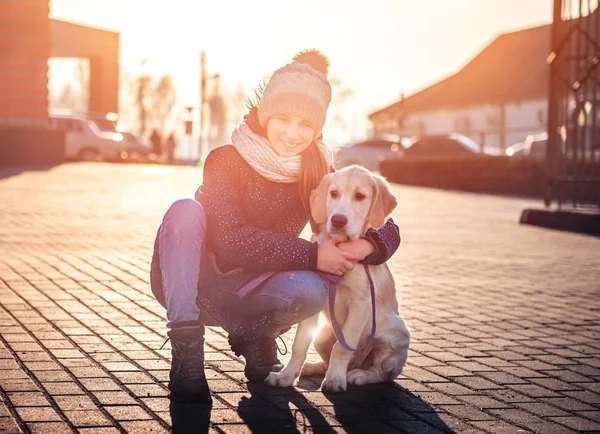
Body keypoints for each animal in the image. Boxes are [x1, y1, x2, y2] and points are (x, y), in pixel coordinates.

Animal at [264, 164, 410, 392]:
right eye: (333, 193)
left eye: (360, 196)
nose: (338, 220)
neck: (340, 246)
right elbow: (300, 343)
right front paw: (286, 376)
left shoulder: (361, 304)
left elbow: (341, 347)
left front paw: (335, 379)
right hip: (323, 333)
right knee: (327, 357)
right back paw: (311, 367)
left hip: (395, 334)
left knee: (382, 374)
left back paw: (358, 375)